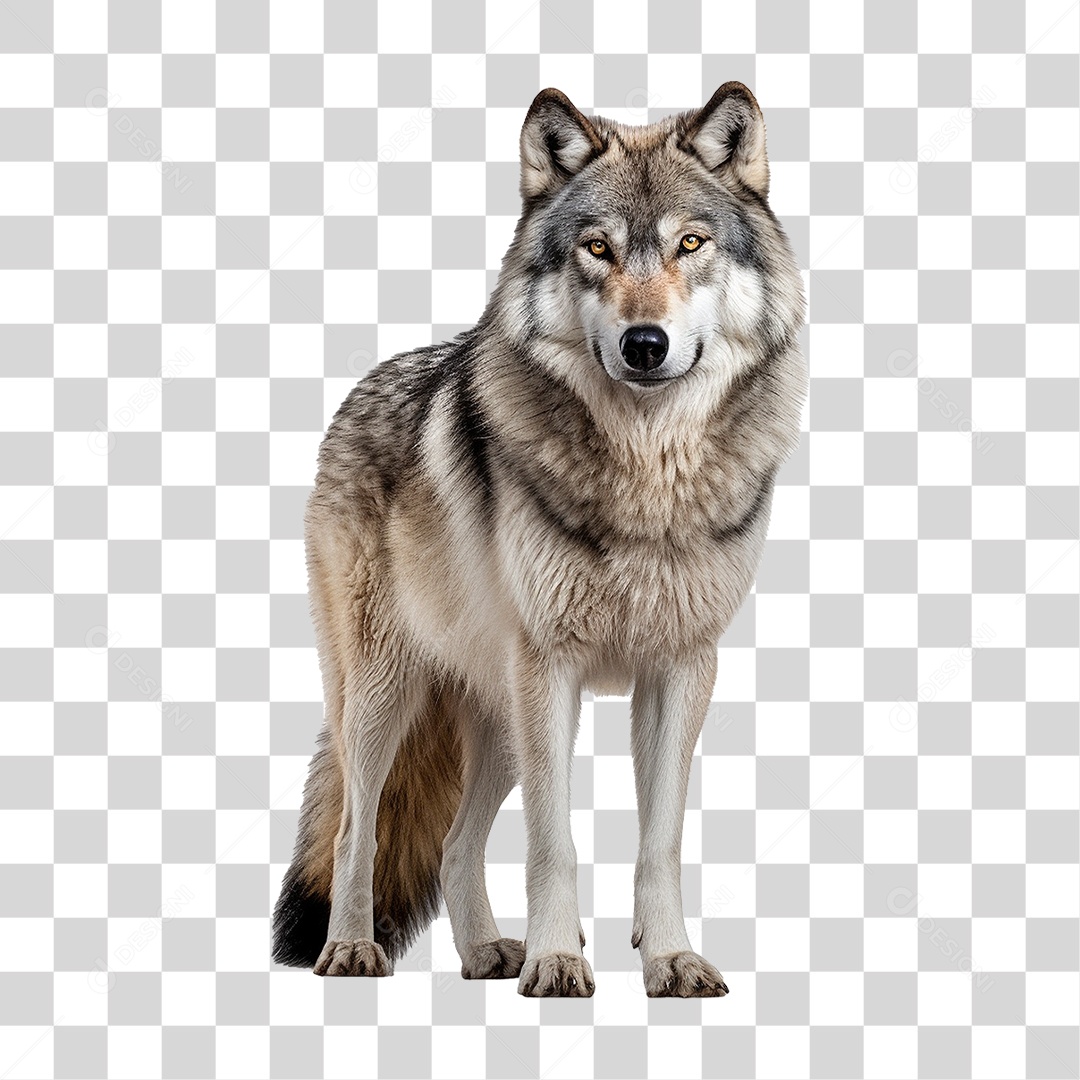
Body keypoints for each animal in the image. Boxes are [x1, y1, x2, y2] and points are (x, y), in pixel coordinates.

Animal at [272, 82, 806, 997]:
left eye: (689, 243)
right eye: (597, 248)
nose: (644, 344)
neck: (647, 477)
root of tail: (355, 395)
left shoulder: (681, 669)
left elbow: (658, 842)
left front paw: (668, 958)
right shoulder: (550, 668)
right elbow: (552, 843)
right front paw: (559, 960)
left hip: (494, 720)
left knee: (456, 845)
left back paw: (487, 951)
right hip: (387, 699)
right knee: (355, 829)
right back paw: (350, 951)